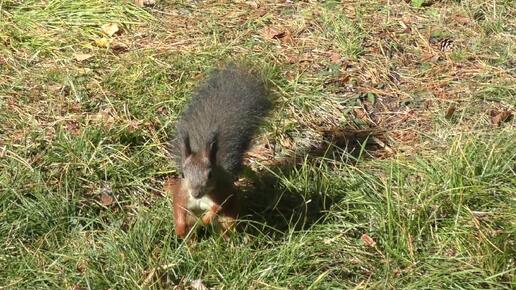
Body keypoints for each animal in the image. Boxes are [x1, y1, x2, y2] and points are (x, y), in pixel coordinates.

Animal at [166, 62, 272, 238]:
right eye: (182, 174)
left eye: (210, 175)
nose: (196, 193)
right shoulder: (182, 194)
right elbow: (178, 208)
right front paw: (179, 228)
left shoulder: (221, 194)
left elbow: (218, 207)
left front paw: (207, 218)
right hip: (191, 219)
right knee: (191, 232)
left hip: (228, 218)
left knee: (225, 227)